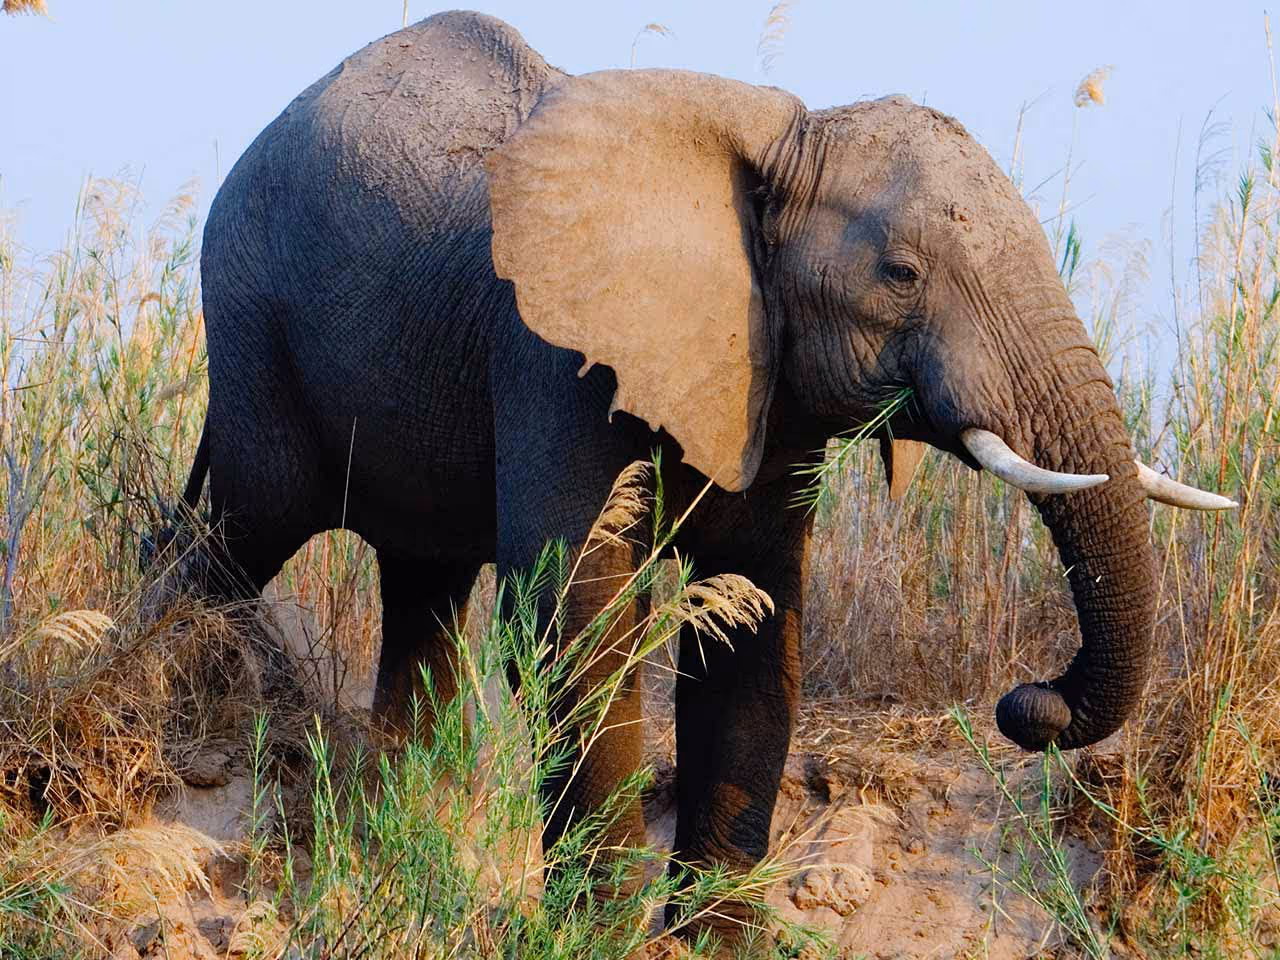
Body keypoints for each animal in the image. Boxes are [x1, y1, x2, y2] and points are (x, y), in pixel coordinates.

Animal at [177, 9, 1233, 951]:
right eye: (900, 274)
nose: (1029, 702)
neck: (779, 144)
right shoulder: (555, 353)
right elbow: (579, 611)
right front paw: (596, 931)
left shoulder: (768, 375)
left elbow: (757, 614)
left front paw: (718, 935)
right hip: (252, 323)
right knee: (236, 528)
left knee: (421, 584)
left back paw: (403, 847)